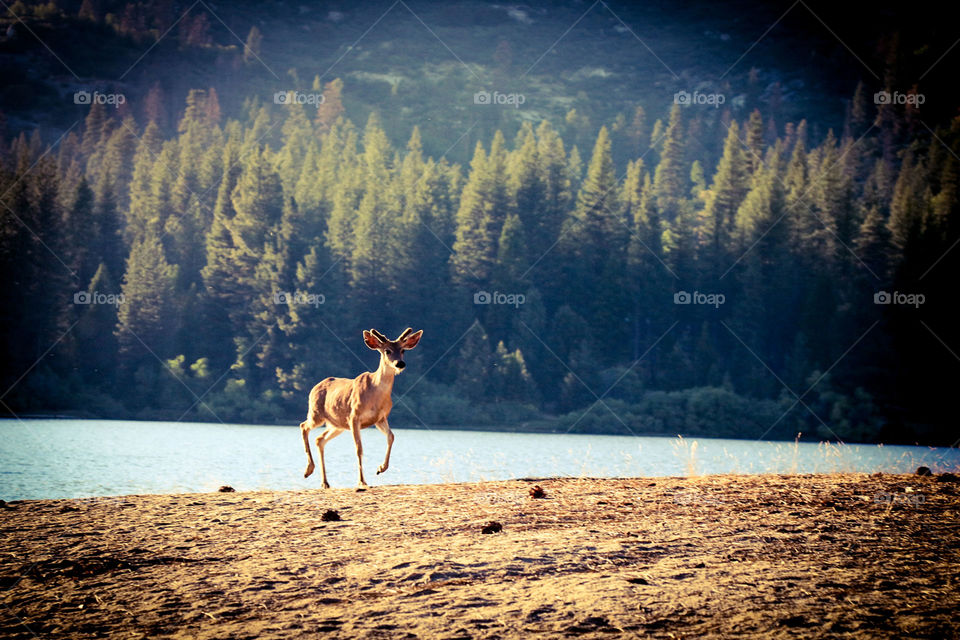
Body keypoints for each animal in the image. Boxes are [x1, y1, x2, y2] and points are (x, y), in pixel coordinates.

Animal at [301, 327, 423, 490]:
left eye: (403, 350)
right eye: (387, 350)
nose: (400, 363)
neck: (375, 393)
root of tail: (314, 388)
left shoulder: (380, 418)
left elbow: (391, 436)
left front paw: (380, 468)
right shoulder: (354, 416)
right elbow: (359, 448)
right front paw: (362, 481)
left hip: (337, 425)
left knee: (319, 439)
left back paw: (325, 482)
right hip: (316, 413)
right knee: (304, 426)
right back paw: (308, 470)